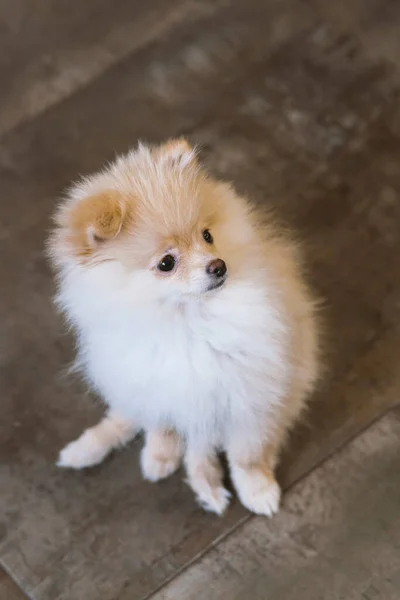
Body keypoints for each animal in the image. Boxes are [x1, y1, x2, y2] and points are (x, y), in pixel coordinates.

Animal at [49, 139, 318, 516]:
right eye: (166, 263)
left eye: (207, 235)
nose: (218, 266)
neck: (186, 320)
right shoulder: (157, 385)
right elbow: (160, 424)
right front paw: (159, 454)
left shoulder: (249, 394)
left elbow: (247, 454)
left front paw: (257, 489)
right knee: (131, 417)